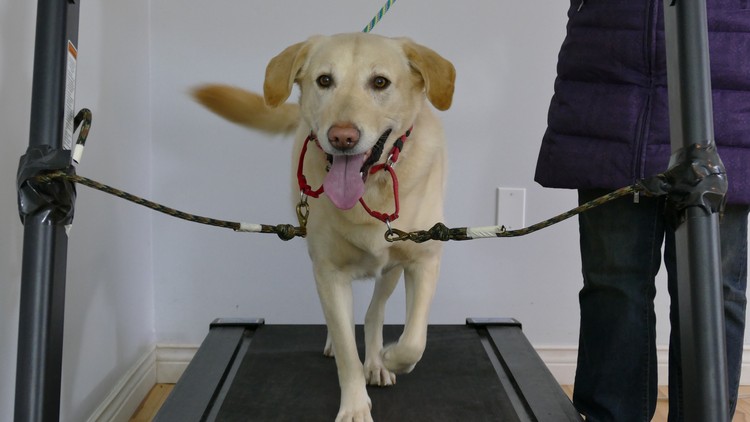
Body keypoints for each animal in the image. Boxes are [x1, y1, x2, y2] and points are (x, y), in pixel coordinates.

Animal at [194, 33, 456, 422]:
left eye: (380, 82)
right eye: (324, 80)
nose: (342, 137)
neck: (370, 193)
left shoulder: (423, 261)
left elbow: (414, 340)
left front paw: (390, 357)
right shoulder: (329, 272)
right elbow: (347, 350)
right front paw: (355, 406)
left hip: (391, 270)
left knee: (374, 312)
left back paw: (377, 360)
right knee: (341, 323)